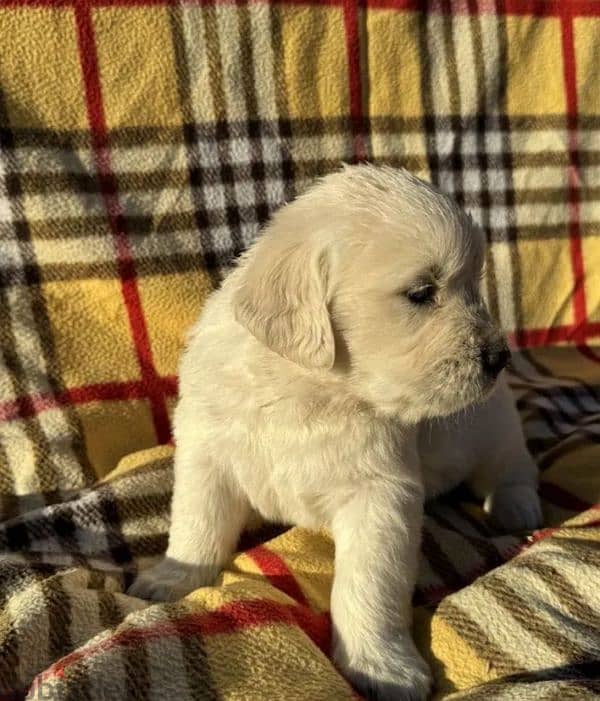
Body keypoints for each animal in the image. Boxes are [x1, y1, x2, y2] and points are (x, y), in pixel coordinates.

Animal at [131, 165, 544, 700]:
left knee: (513, 466)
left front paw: (381, 667)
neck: (308, 387)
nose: (499, 356)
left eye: (474, 285)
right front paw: (173, 576)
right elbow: (196, 522)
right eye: (421, 293)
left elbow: (367, 584)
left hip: (494, 426)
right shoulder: (207, 451)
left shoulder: (381, 495)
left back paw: (516, 506)